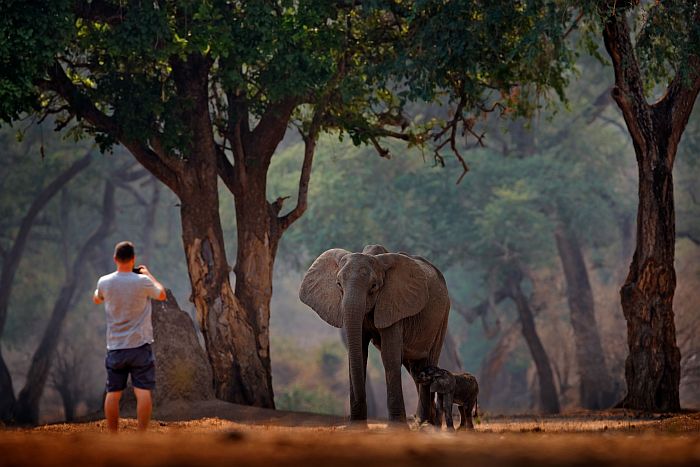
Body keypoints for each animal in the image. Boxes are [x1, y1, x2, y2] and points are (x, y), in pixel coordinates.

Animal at [299, 244, 450, 426]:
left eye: (373, 286)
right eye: (338, 284)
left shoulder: (394, 304)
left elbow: (389, 355)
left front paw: (397, 427)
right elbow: (359, 352)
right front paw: (355, 426)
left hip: (443, 315)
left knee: (429, 361)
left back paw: (426, 423)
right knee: (417, 370)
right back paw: (425, 421)